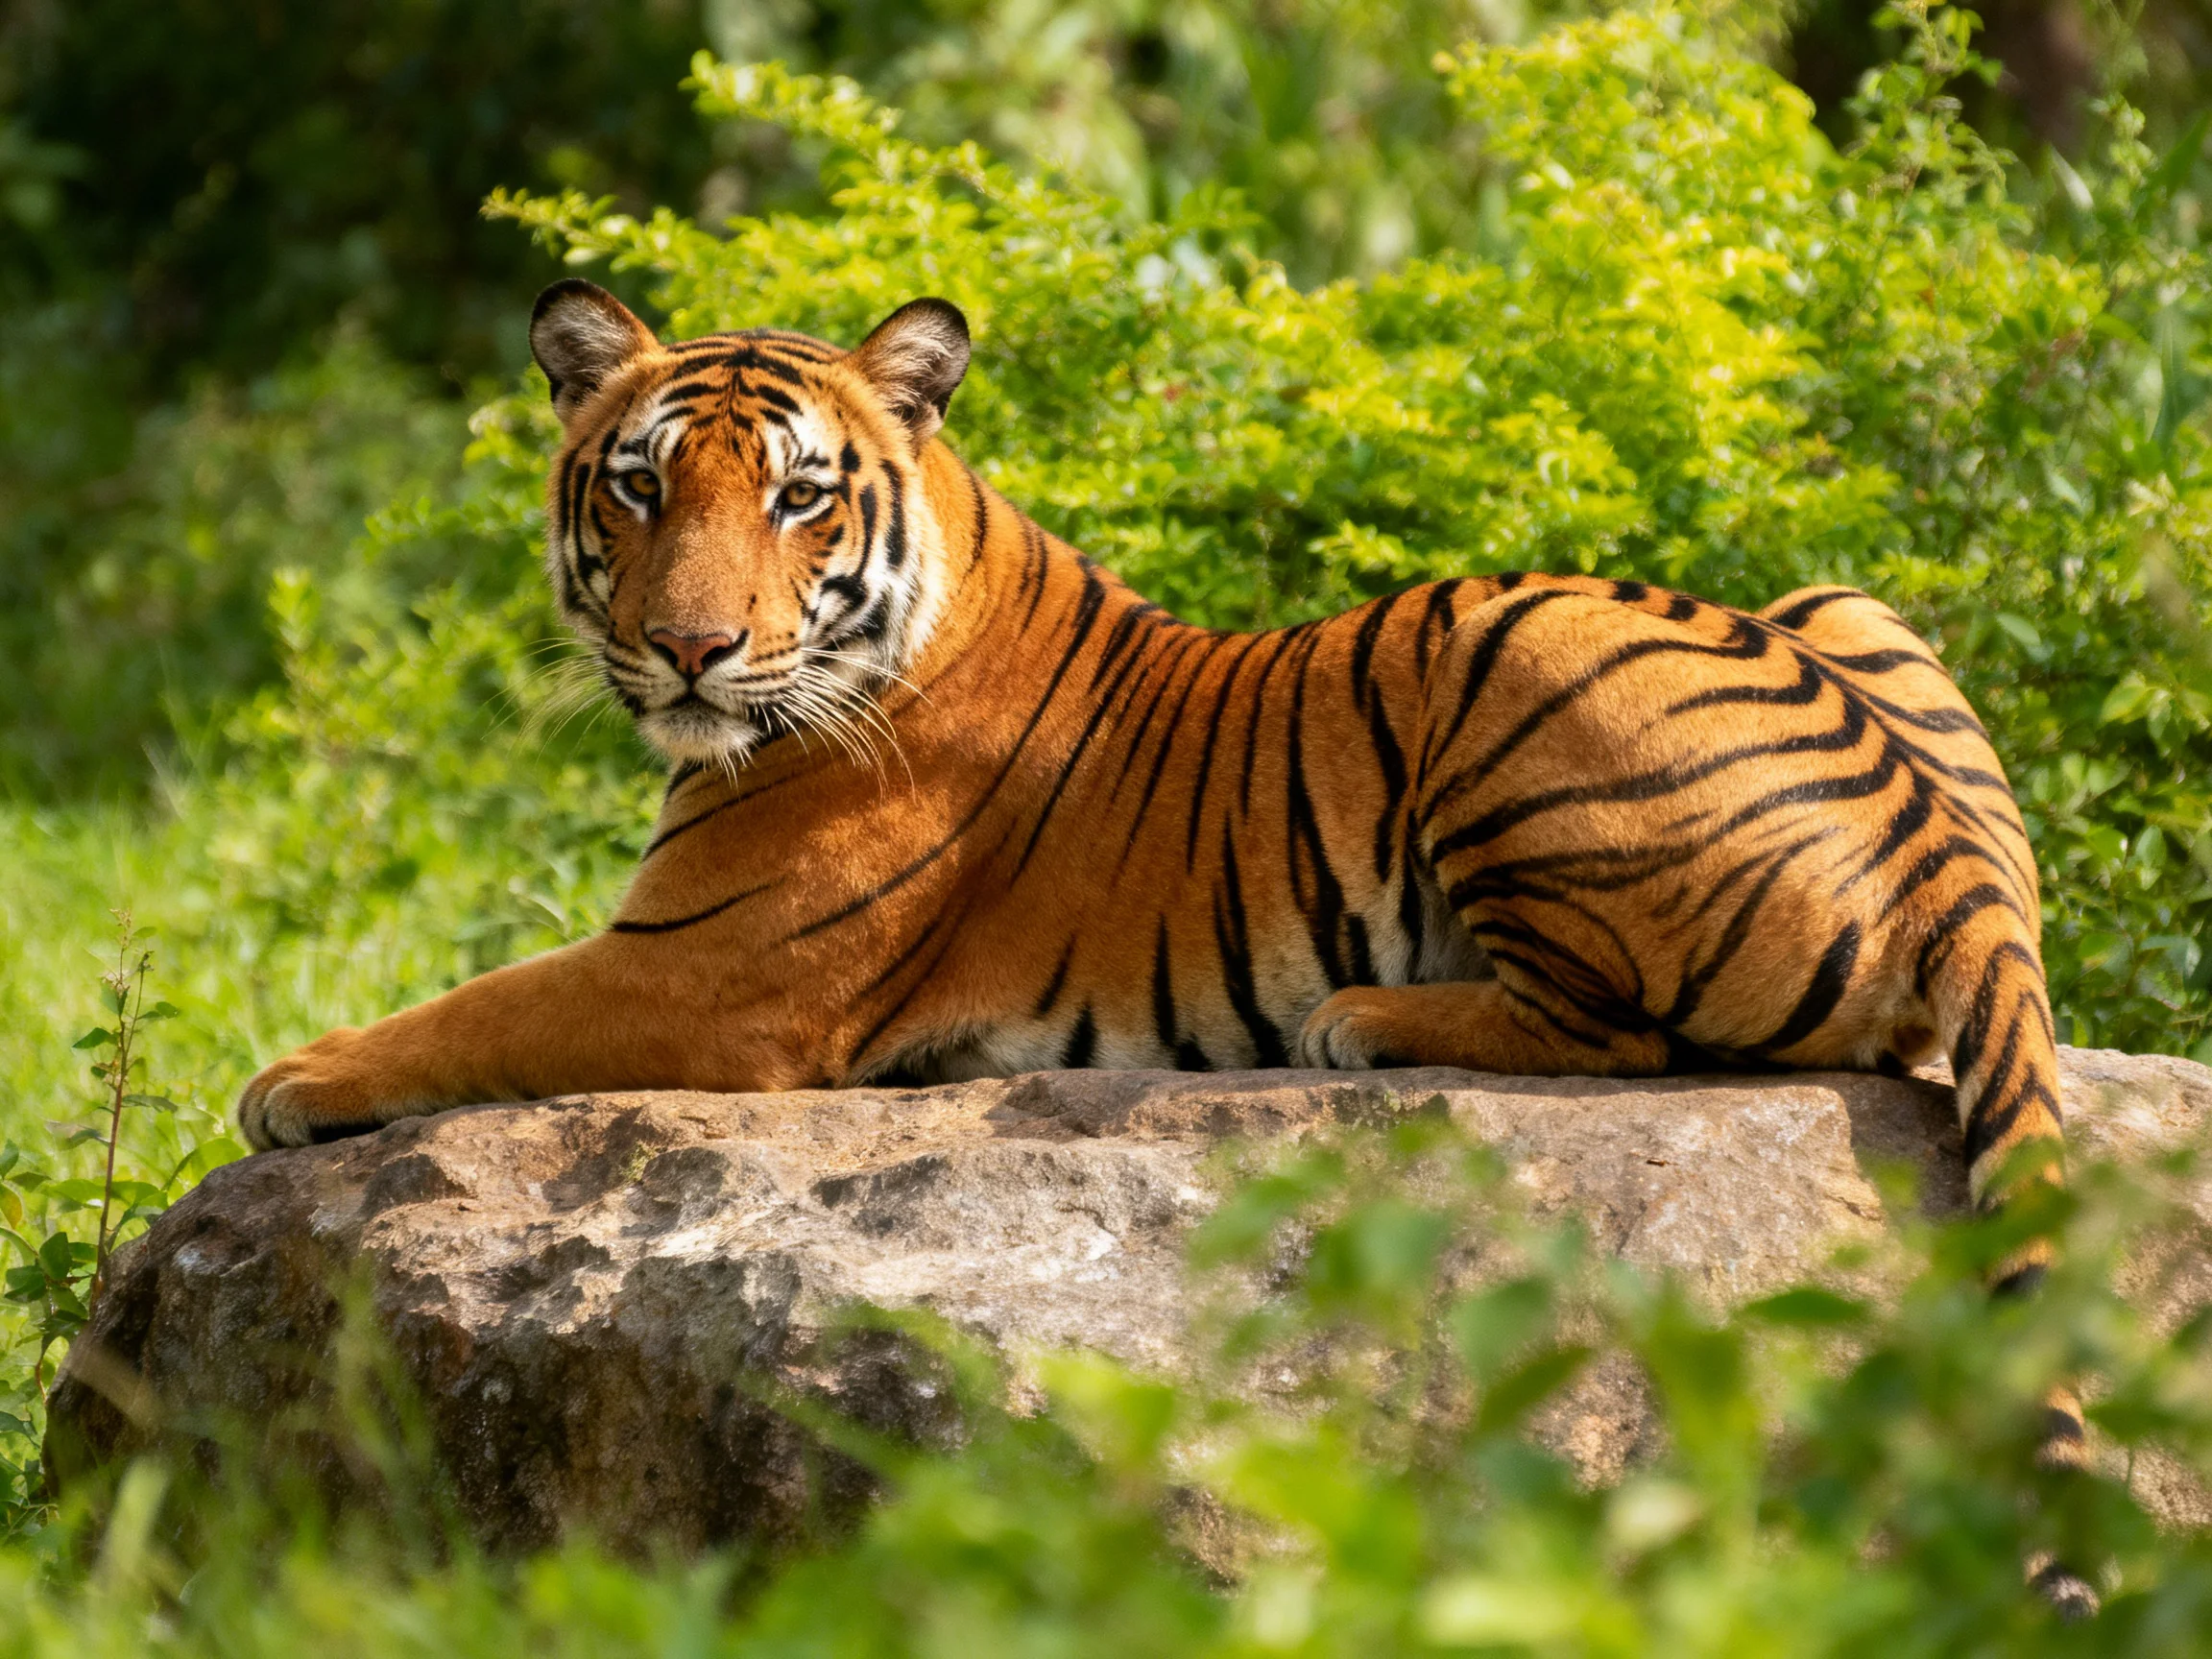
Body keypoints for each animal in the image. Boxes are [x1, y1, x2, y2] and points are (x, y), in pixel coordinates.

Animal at [237, 281, 2082, 1556]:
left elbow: (483, 1002)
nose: (690, 650)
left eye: (796, 499)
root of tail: (1950, 854)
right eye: (634, 489)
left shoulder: (705, 975)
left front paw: (289, 1080)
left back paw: (1368, 1020)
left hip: (1507, 646)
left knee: (1616, 1027)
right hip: (1846, 593)